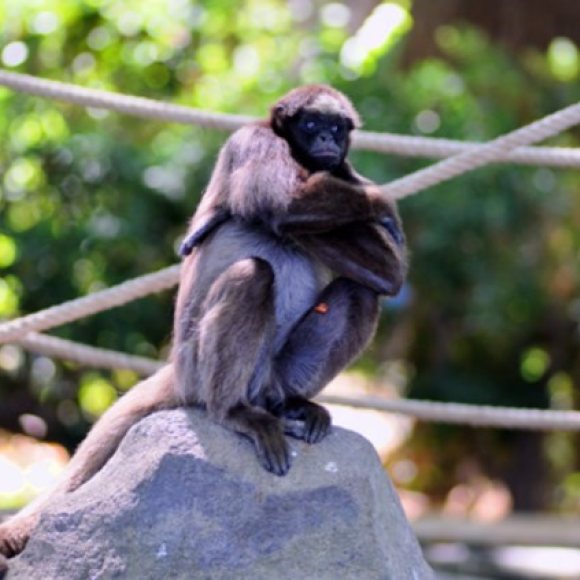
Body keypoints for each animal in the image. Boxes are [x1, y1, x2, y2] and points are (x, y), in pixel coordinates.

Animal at [0, 84, 408, 564]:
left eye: (337, 127)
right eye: (311, 124)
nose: (327, 139)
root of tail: (177, 369)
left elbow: (388, 272)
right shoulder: (252, 141)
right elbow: (284, 207)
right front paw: (379, 199)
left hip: (276, 372)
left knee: (362, 290)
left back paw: (290, 404)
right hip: (201, 364)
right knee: (253, 273)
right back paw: (233, 411)